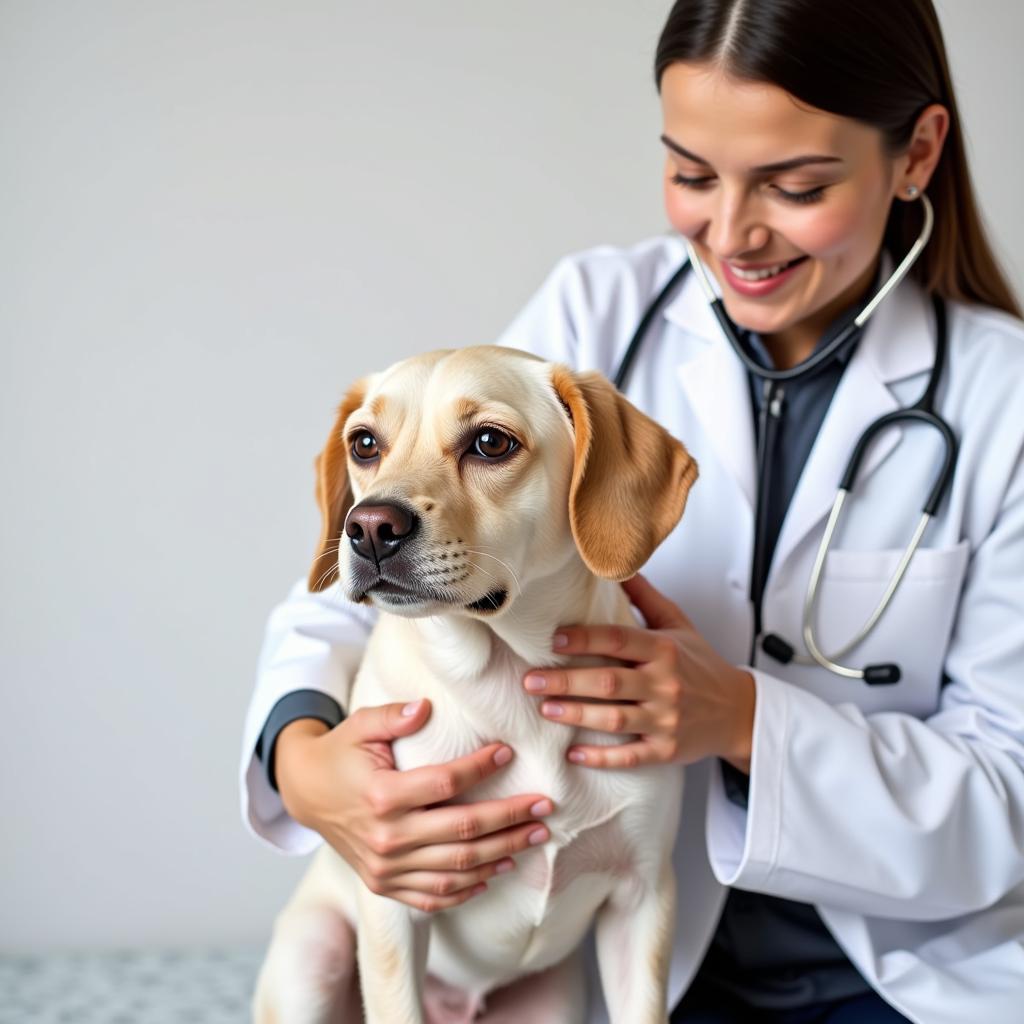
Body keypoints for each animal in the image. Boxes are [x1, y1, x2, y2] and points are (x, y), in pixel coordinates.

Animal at [252, 348, 700, 1019]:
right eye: (364, 443)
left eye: (491, 442)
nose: (369, 526)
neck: (510, 676)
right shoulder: (394, 908)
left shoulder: (643, 901)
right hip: (314, 956)